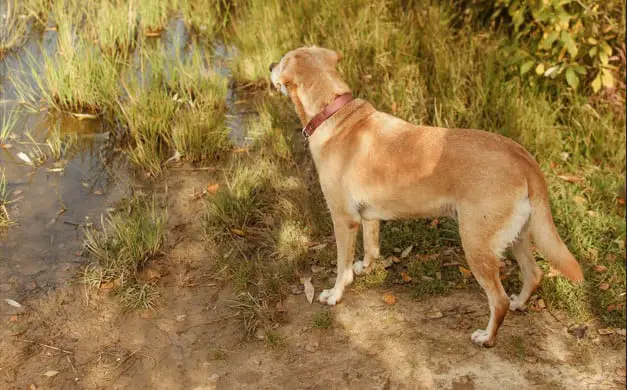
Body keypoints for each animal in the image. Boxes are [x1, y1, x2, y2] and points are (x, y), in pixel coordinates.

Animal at [268, 46, 584, 348]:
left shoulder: (344, 220)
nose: (270, 65)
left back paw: (487, 337)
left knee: (499, 299)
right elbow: (370, 249)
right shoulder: (368, 217)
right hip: (517, 236)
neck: (333, 113)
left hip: (476, 245)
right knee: (534, 274)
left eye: (282, 60)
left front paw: (335, 294)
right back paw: (519, 303)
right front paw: (364, 268)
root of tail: (523, 157)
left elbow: (340, 267)